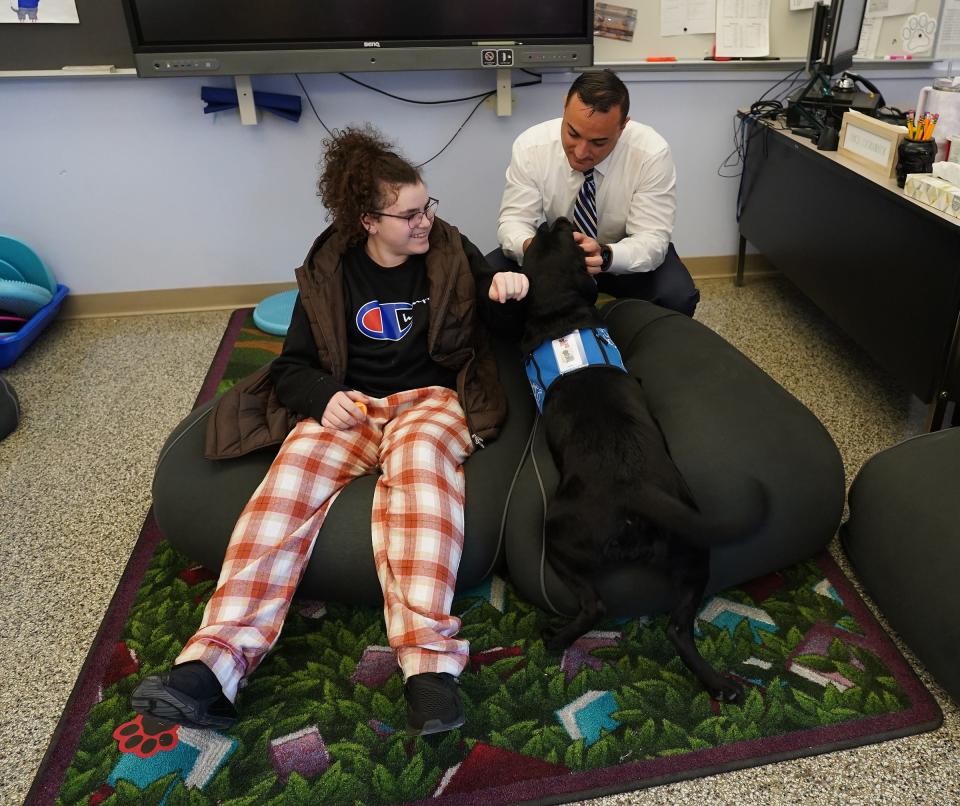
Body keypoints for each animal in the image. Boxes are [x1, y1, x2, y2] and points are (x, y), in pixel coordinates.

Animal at [520, 218, 760, 704]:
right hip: (694, 551)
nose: (557, 220)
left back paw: (555, 639)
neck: (560, 317)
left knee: (595, 605)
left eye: (550, 236)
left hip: (558, 536)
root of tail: (636, 493)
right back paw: (721, 685)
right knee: (677, 629)